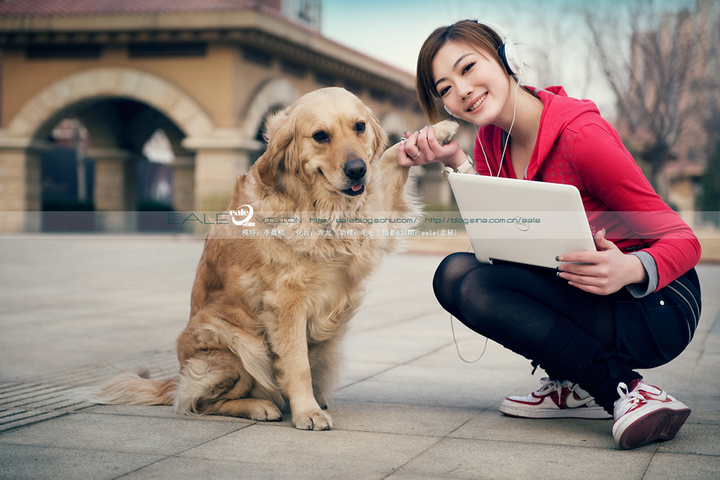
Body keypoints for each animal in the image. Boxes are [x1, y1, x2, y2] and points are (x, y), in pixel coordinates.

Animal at [88, 87, 456, 432]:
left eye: (360, 127)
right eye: (320, 135)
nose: (356, 170)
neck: (317, 206)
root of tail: (175, 377)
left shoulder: (374, 213)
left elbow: (390, 158)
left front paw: (436, 132)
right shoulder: (286, 303)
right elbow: (297, 364)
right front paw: (307, 413)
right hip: (235, 344)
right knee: (199, 403)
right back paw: (262, 406)